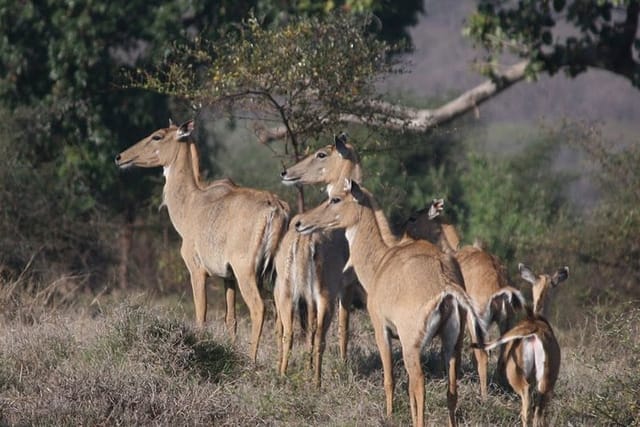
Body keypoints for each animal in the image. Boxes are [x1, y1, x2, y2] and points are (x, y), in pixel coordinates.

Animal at [115, 119, 290, 362]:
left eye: (157, 136)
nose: (120, 157)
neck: (191, 203)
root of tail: (276, 209)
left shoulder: (197, 270)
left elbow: (201, 316)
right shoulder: (228, 277)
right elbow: (230, 319)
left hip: (247, 272)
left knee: (259, 309)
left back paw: (251, 362)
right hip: (274, 274)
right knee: (283, 315)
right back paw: (280, 367)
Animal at [292, 181, 482, 427]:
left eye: (335, 199)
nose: (299, 222)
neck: (381, 260)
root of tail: (446, 283)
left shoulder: (381, 328)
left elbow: (390, 378)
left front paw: (390, 415)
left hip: (413, 344)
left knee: (419, 385)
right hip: (452, 344)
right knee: (451, 391)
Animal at [404, 200, 524, 398]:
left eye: (413, 217)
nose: (404, 233)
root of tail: (500, 286)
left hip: (477, 323)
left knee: (482, 355)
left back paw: (483, 396)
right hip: (507, 322)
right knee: (503, 356)